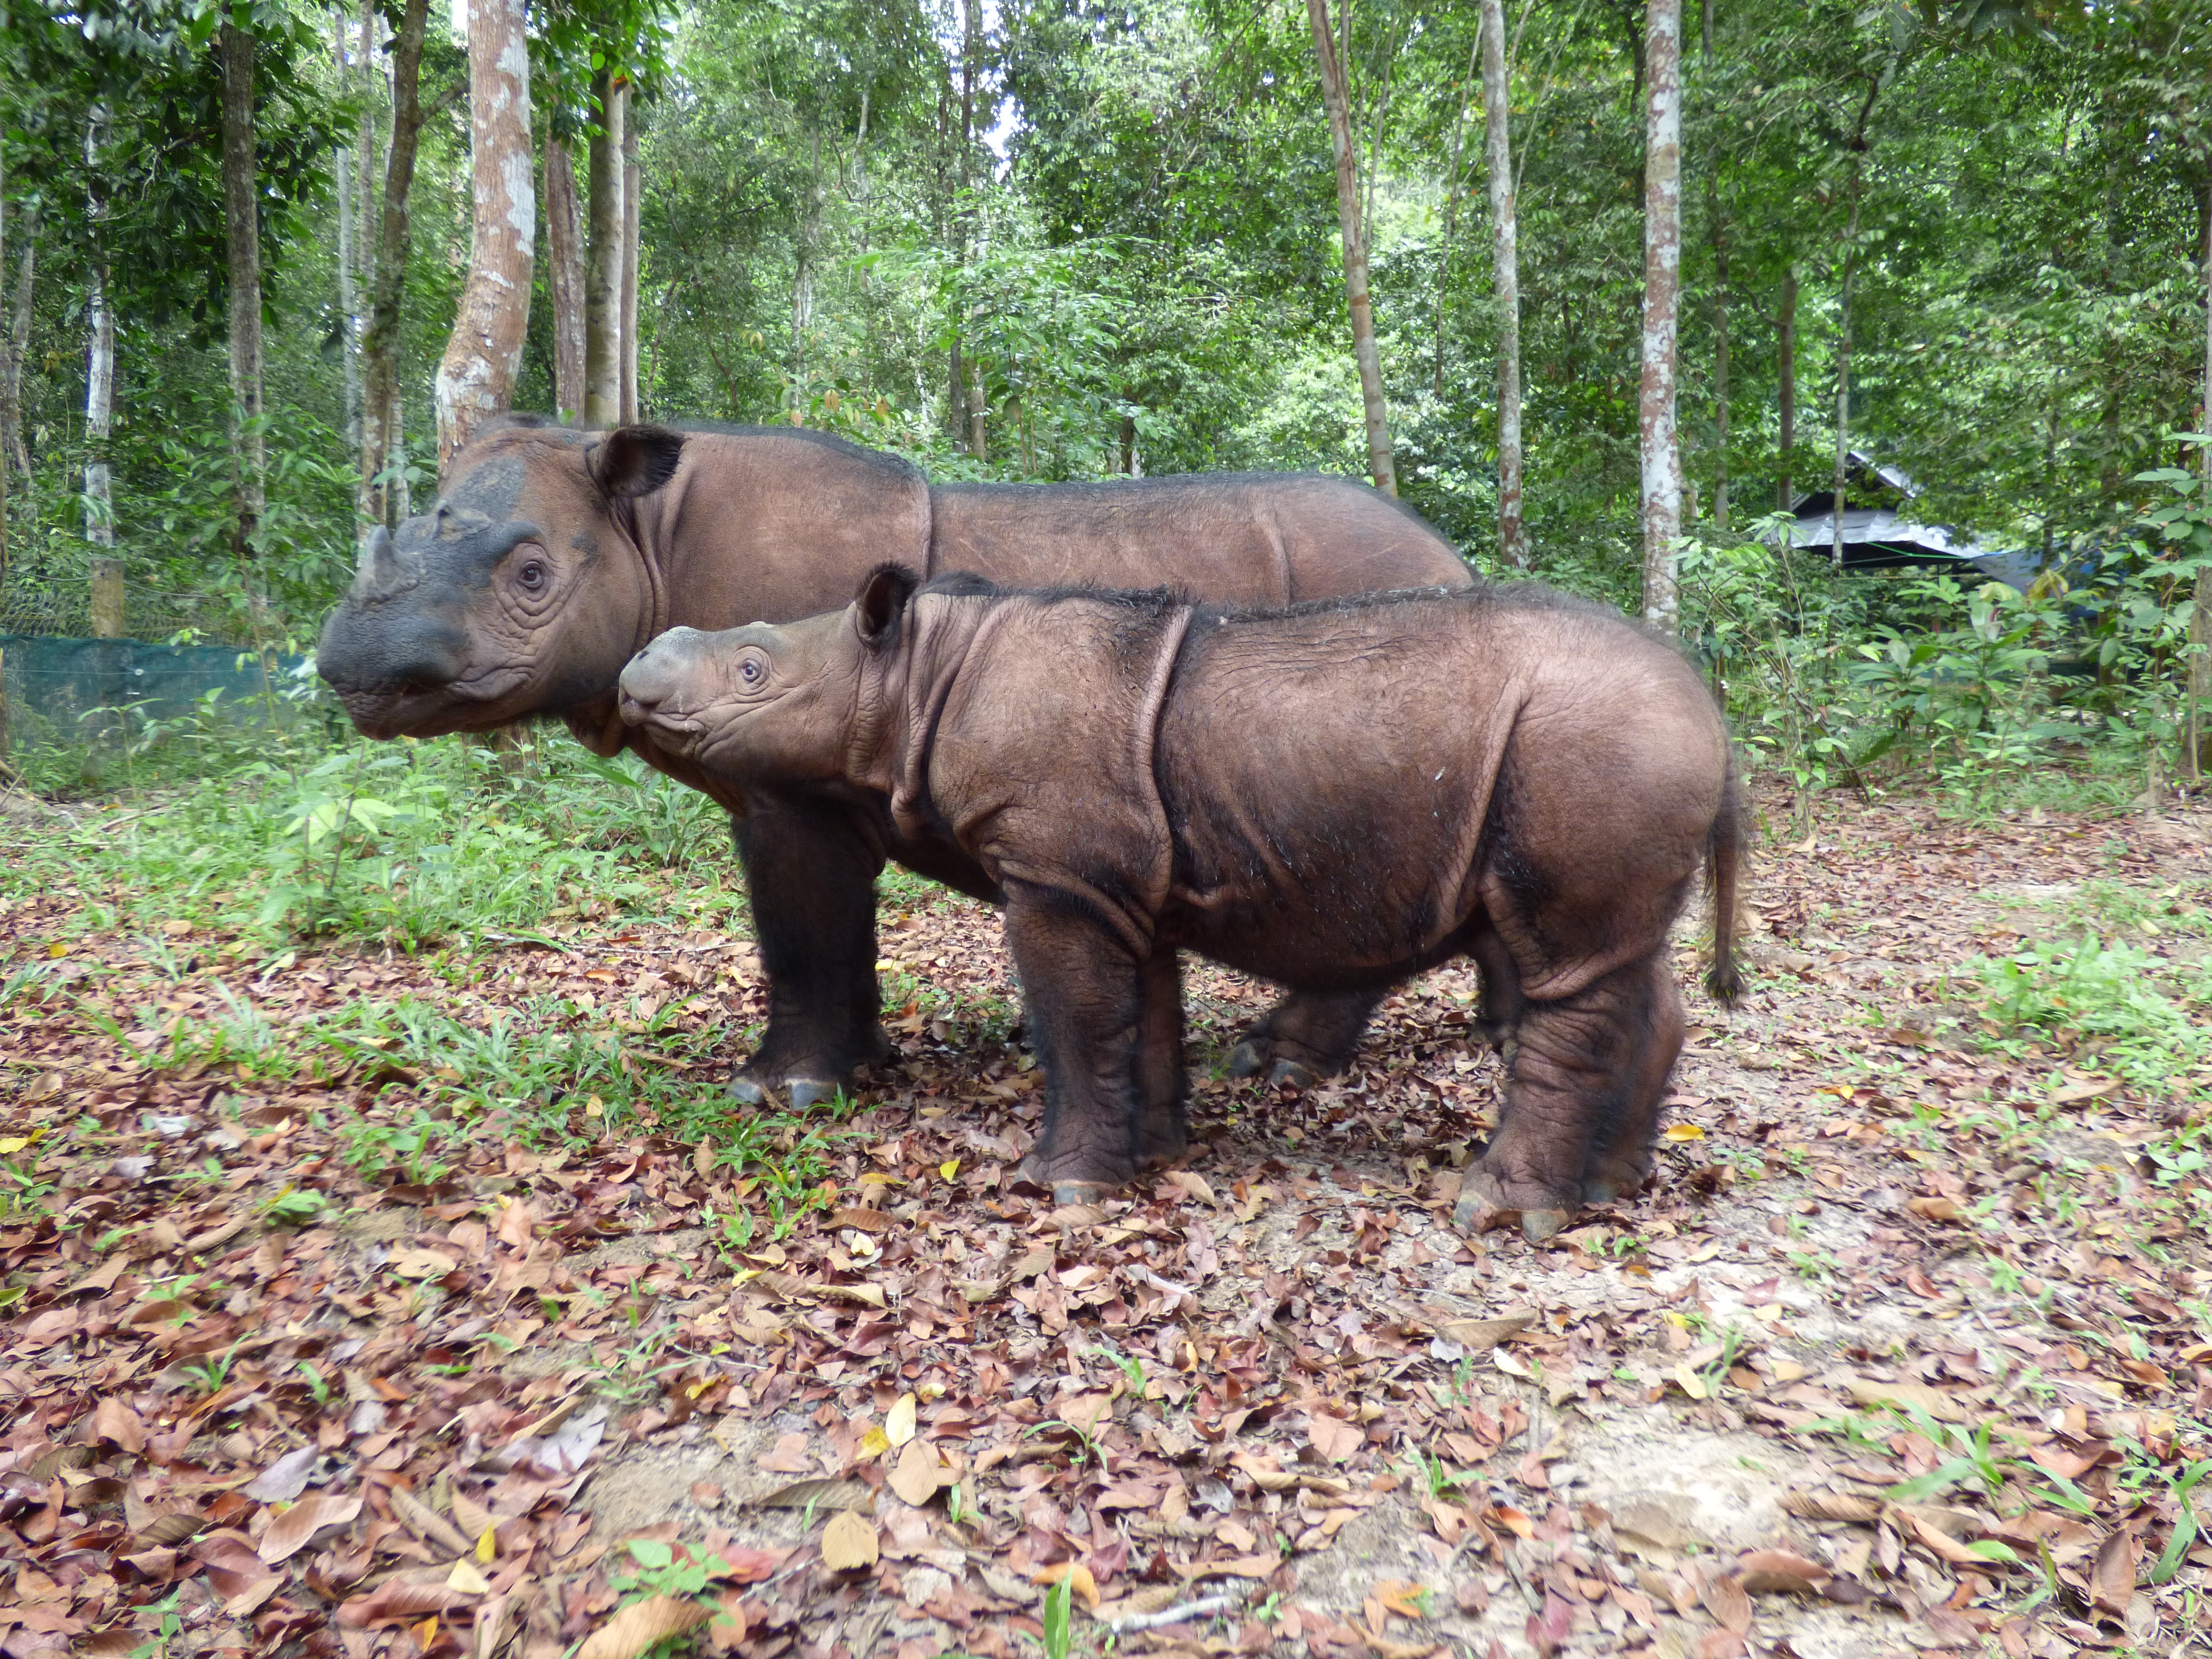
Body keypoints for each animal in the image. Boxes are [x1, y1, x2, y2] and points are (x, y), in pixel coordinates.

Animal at [316, 422, 1468, 1110]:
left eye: (532, 574)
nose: (352, 663)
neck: (645, 531)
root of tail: (1455, 559)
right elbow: (827, 931)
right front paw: (859, 1062)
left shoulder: (790, 780)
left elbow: (800, 929)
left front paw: (780, 1094)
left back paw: (1277, 1062)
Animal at [619, 566, 1743, 1238]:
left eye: (752, 668)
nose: (635, 670)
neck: (921, 673)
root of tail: (1713, 713)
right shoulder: (1115, 878)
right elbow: (1138, 1015)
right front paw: (1151, 1156)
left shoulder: (1056, 874)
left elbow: (1074, 1021)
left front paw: (1060, 1190)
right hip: (1607, 751)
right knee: (1621, 961)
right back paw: (1612, 1185)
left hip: (1590, 743)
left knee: (1570, 965)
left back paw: (1497, 1213)